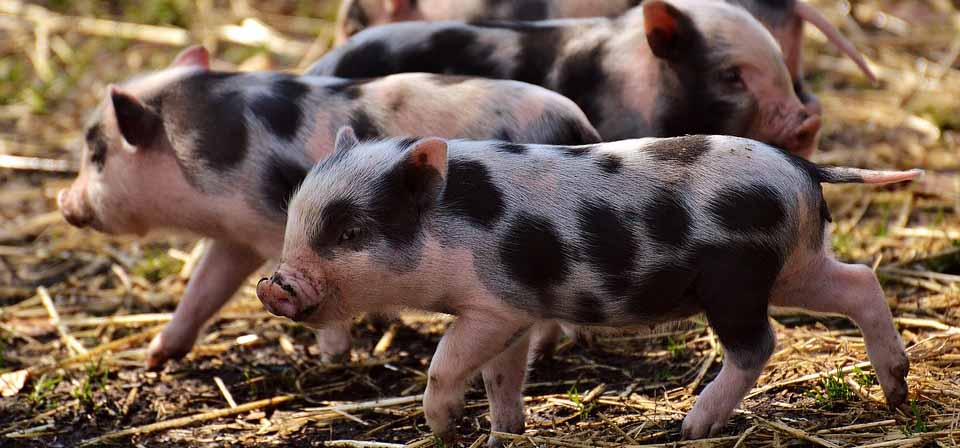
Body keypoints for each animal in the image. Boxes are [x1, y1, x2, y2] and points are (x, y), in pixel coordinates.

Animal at [57, 45, 601, 370]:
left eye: (98, 153)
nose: (65, 202)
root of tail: (578, 126)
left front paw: (334, 357)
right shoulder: (237, 235)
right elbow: (203, 289)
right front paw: (156, 357)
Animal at [260, 126, 917, 445]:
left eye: (350, 231)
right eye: (295, 220)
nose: (274, 285)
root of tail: (801, 167)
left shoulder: (492, 307)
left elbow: (447, 364)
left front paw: (447, 430)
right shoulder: (518, 313)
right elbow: (502, 376)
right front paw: (505, 434)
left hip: (735, 279)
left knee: (758, 345)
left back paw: (691, 429)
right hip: (794, 265)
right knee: (860, 282)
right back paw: (896, 394)